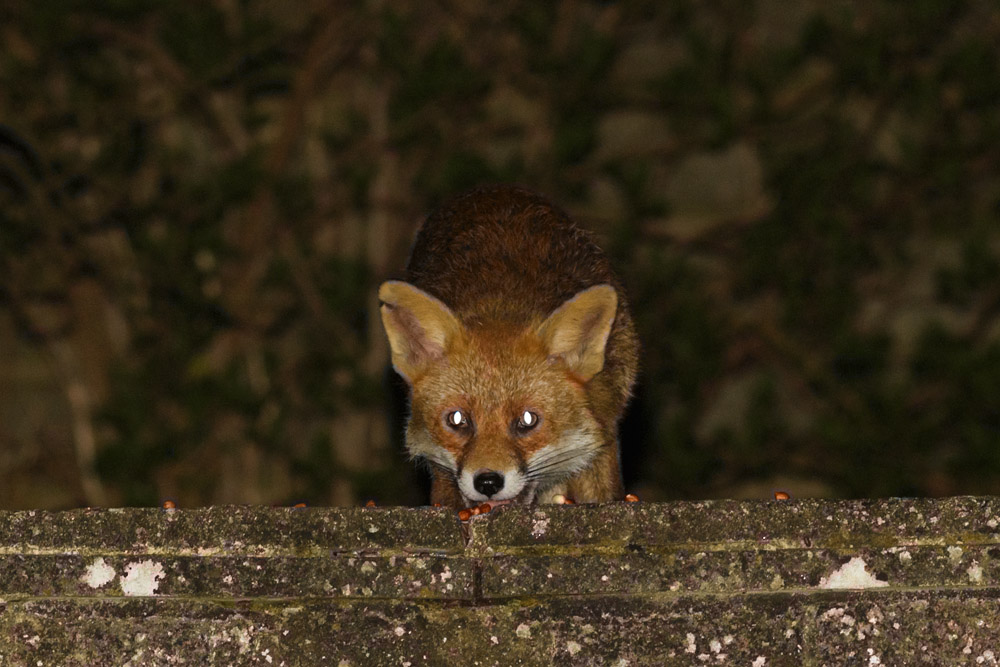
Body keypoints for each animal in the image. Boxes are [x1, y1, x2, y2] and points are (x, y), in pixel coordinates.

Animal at [378, 185, 639, 510]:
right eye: (457, 419)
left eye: (527, 420)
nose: (488, 482)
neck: (500, 306)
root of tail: (493, 190)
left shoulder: (603, 429)